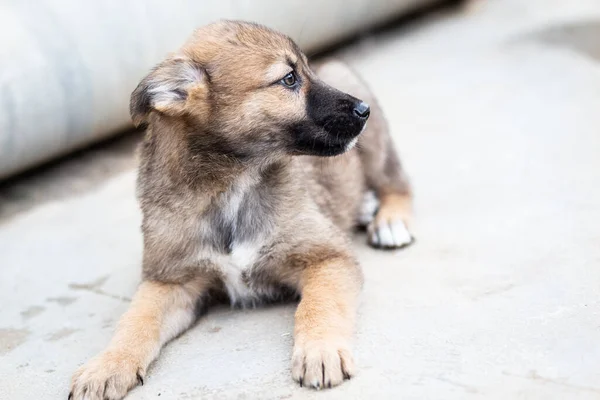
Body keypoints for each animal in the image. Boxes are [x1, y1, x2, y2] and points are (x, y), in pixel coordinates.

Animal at [67, 20, 412, 398]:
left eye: (304, 71)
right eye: (289, 79)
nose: (362, 110)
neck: (233, 185)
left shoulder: (326, 256)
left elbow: (319, 305)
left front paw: (321, 351)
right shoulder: (169, 280)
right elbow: (135, 321)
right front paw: (107, 365)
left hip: (371, 140)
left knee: (397, 181)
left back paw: (389, 220)